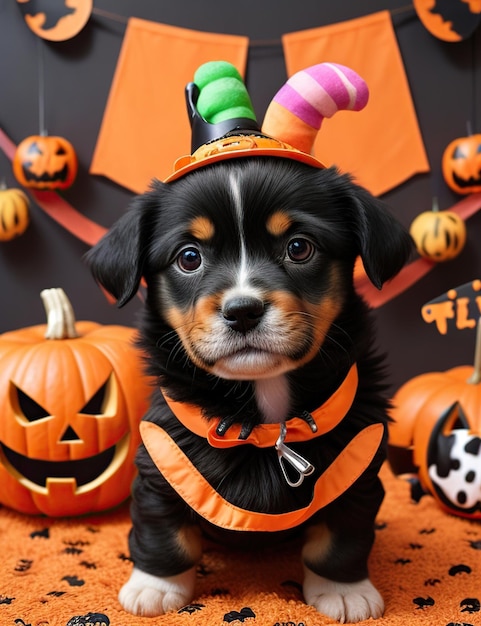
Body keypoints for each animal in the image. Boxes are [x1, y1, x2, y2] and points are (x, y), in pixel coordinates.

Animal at [86, 149, 412, 616]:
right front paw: (155, 586)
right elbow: (162, 528)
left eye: (299, 247)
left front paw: (345, 591)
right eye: (189, 257)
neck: (265, 411)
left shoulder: (359, 462)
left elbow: (342, 534)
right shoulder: (161, 459)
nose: (242, 311)